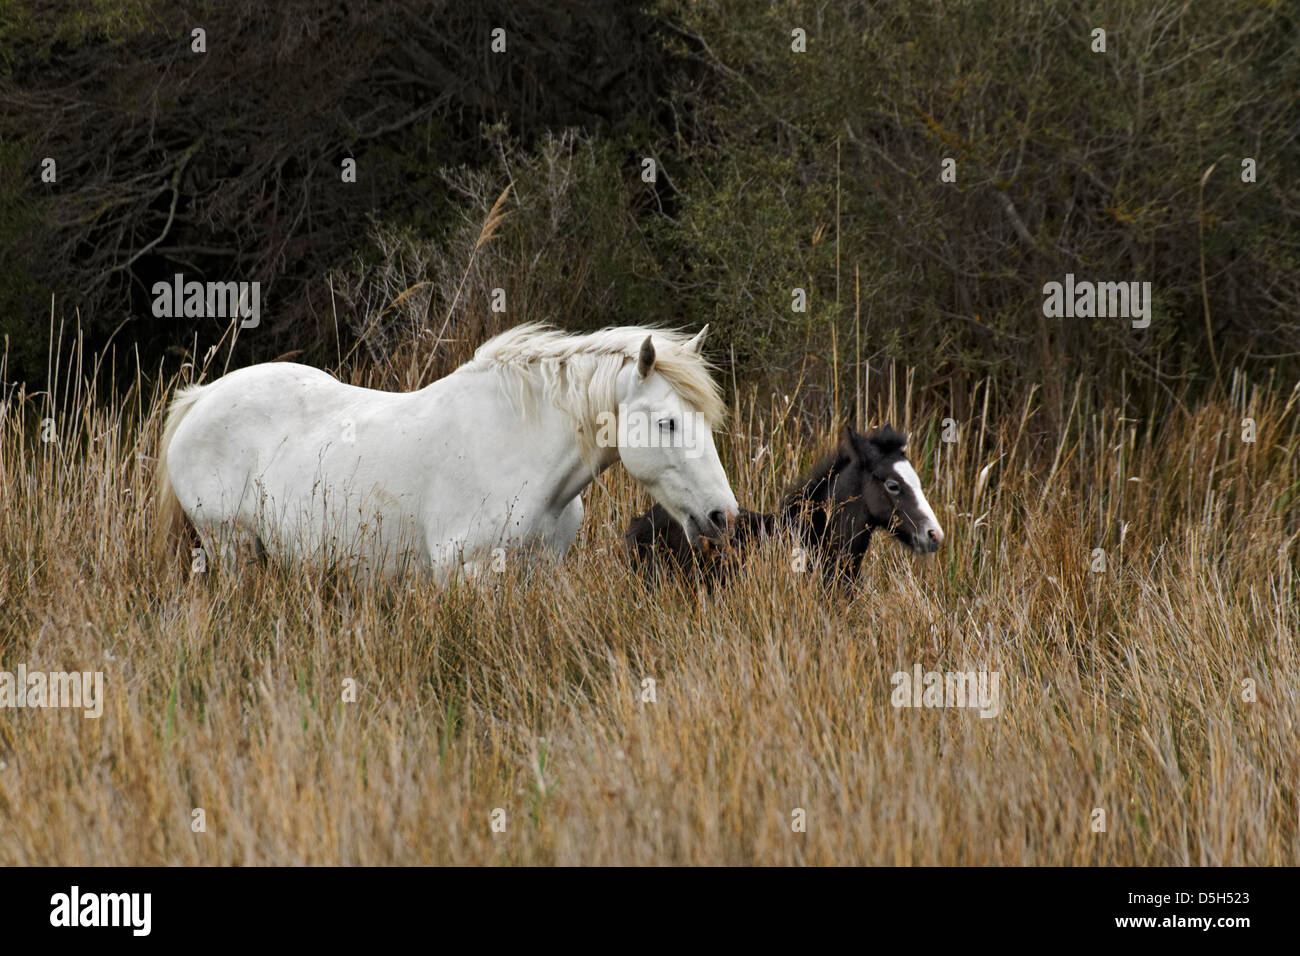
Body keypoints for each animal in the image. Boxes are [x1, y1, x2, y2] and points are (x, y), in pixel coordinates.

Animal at [157, 323, 738, 582]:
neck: (518, 449)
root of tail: (203, 397)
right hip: (231, 547)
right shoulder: (469, 574)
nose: (723, 515)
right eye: (666, 422)